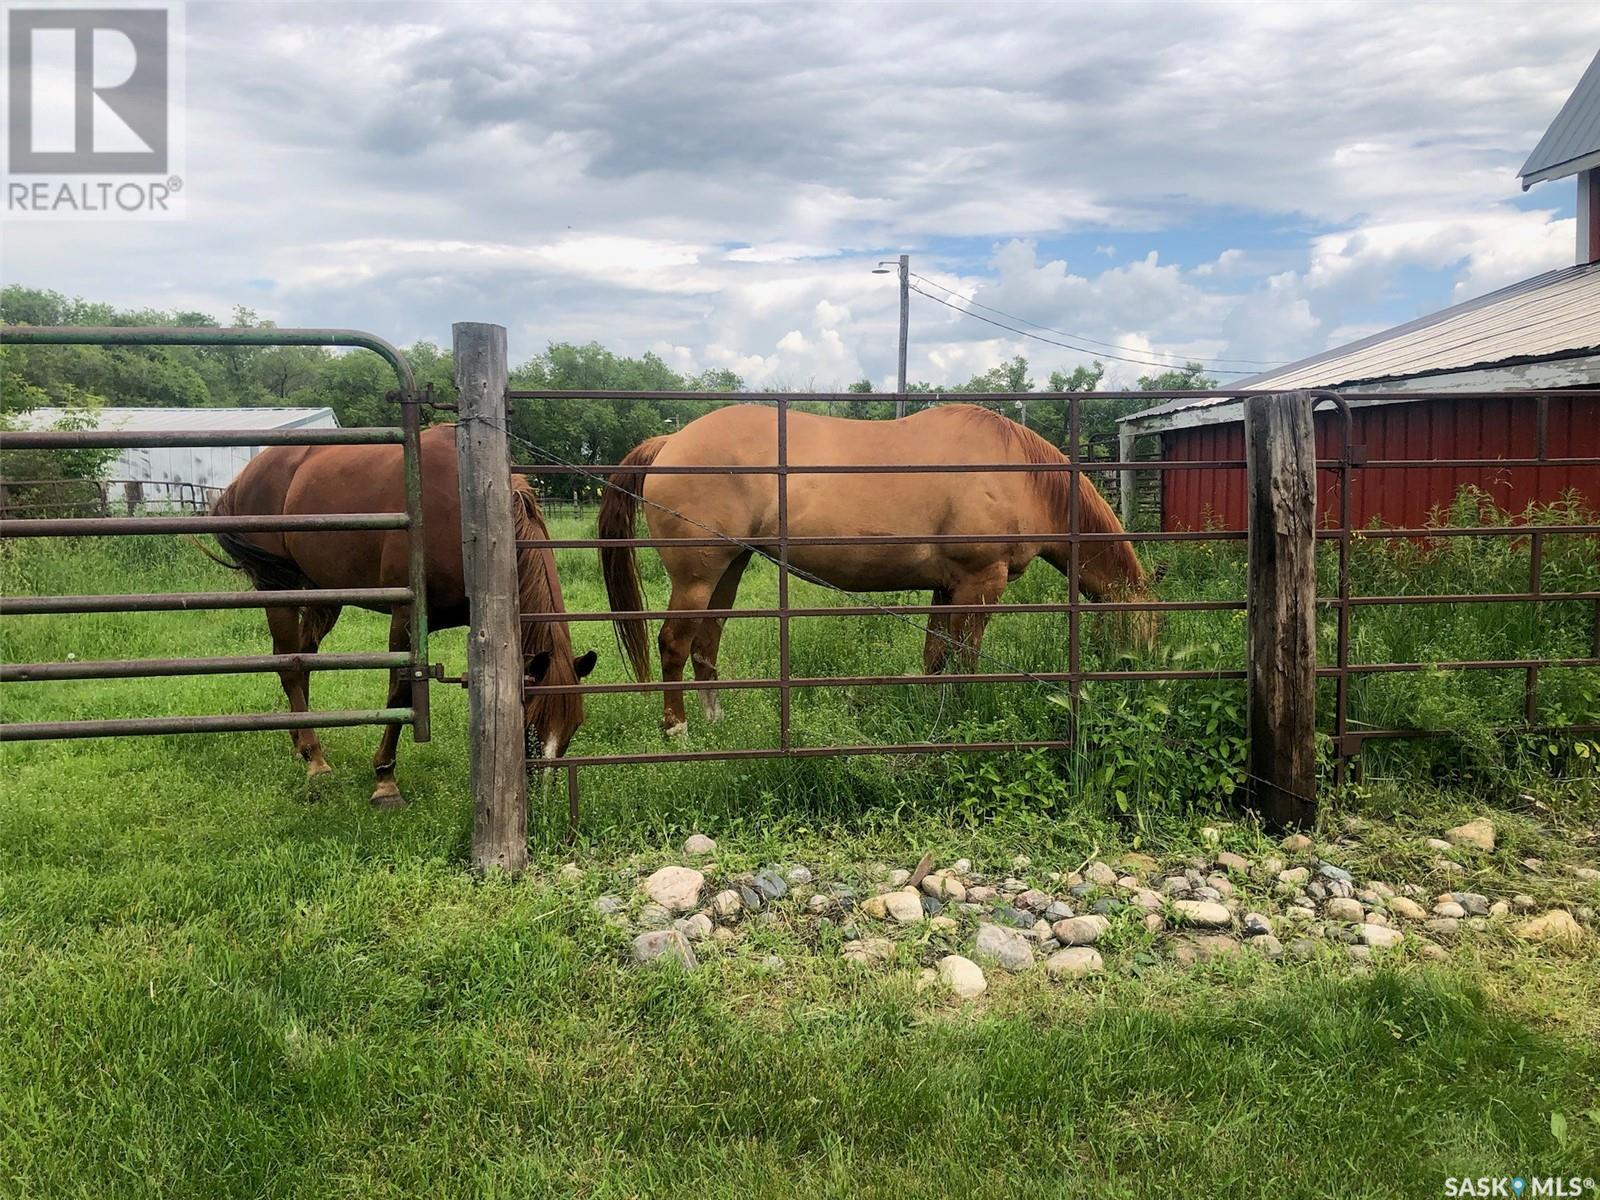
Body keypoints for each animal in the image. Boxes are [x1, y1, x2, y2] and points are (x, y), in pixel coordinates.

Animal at [206, 422, 595, 809]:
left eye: (574, 726)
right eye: (530, 722)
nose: (543, 802)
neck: (465, 521)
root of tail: (247, 475)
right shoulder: (405, 617)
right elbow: (400, 693)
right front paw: (385, 779)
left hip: (323, 593)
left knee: (302, 658)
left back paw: (299, 740)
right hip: (276, 586)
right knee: (288, 662)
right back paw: (315, 759)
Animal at [595, 404, 1158, 739]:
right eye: (1140, 629)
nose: (1138, 686)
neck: (1020, 474)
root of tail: (670, 442)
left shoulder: (947, 588)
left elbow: (936, 656)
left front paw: (934, 711)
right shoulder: (980, 583)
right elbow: (966, 659)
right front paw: (964, 713)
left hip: (729, 568)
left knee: (706, 642)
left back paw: (715, 722)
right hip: (695, 577)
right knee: (674, 644)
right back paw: (678, 730)